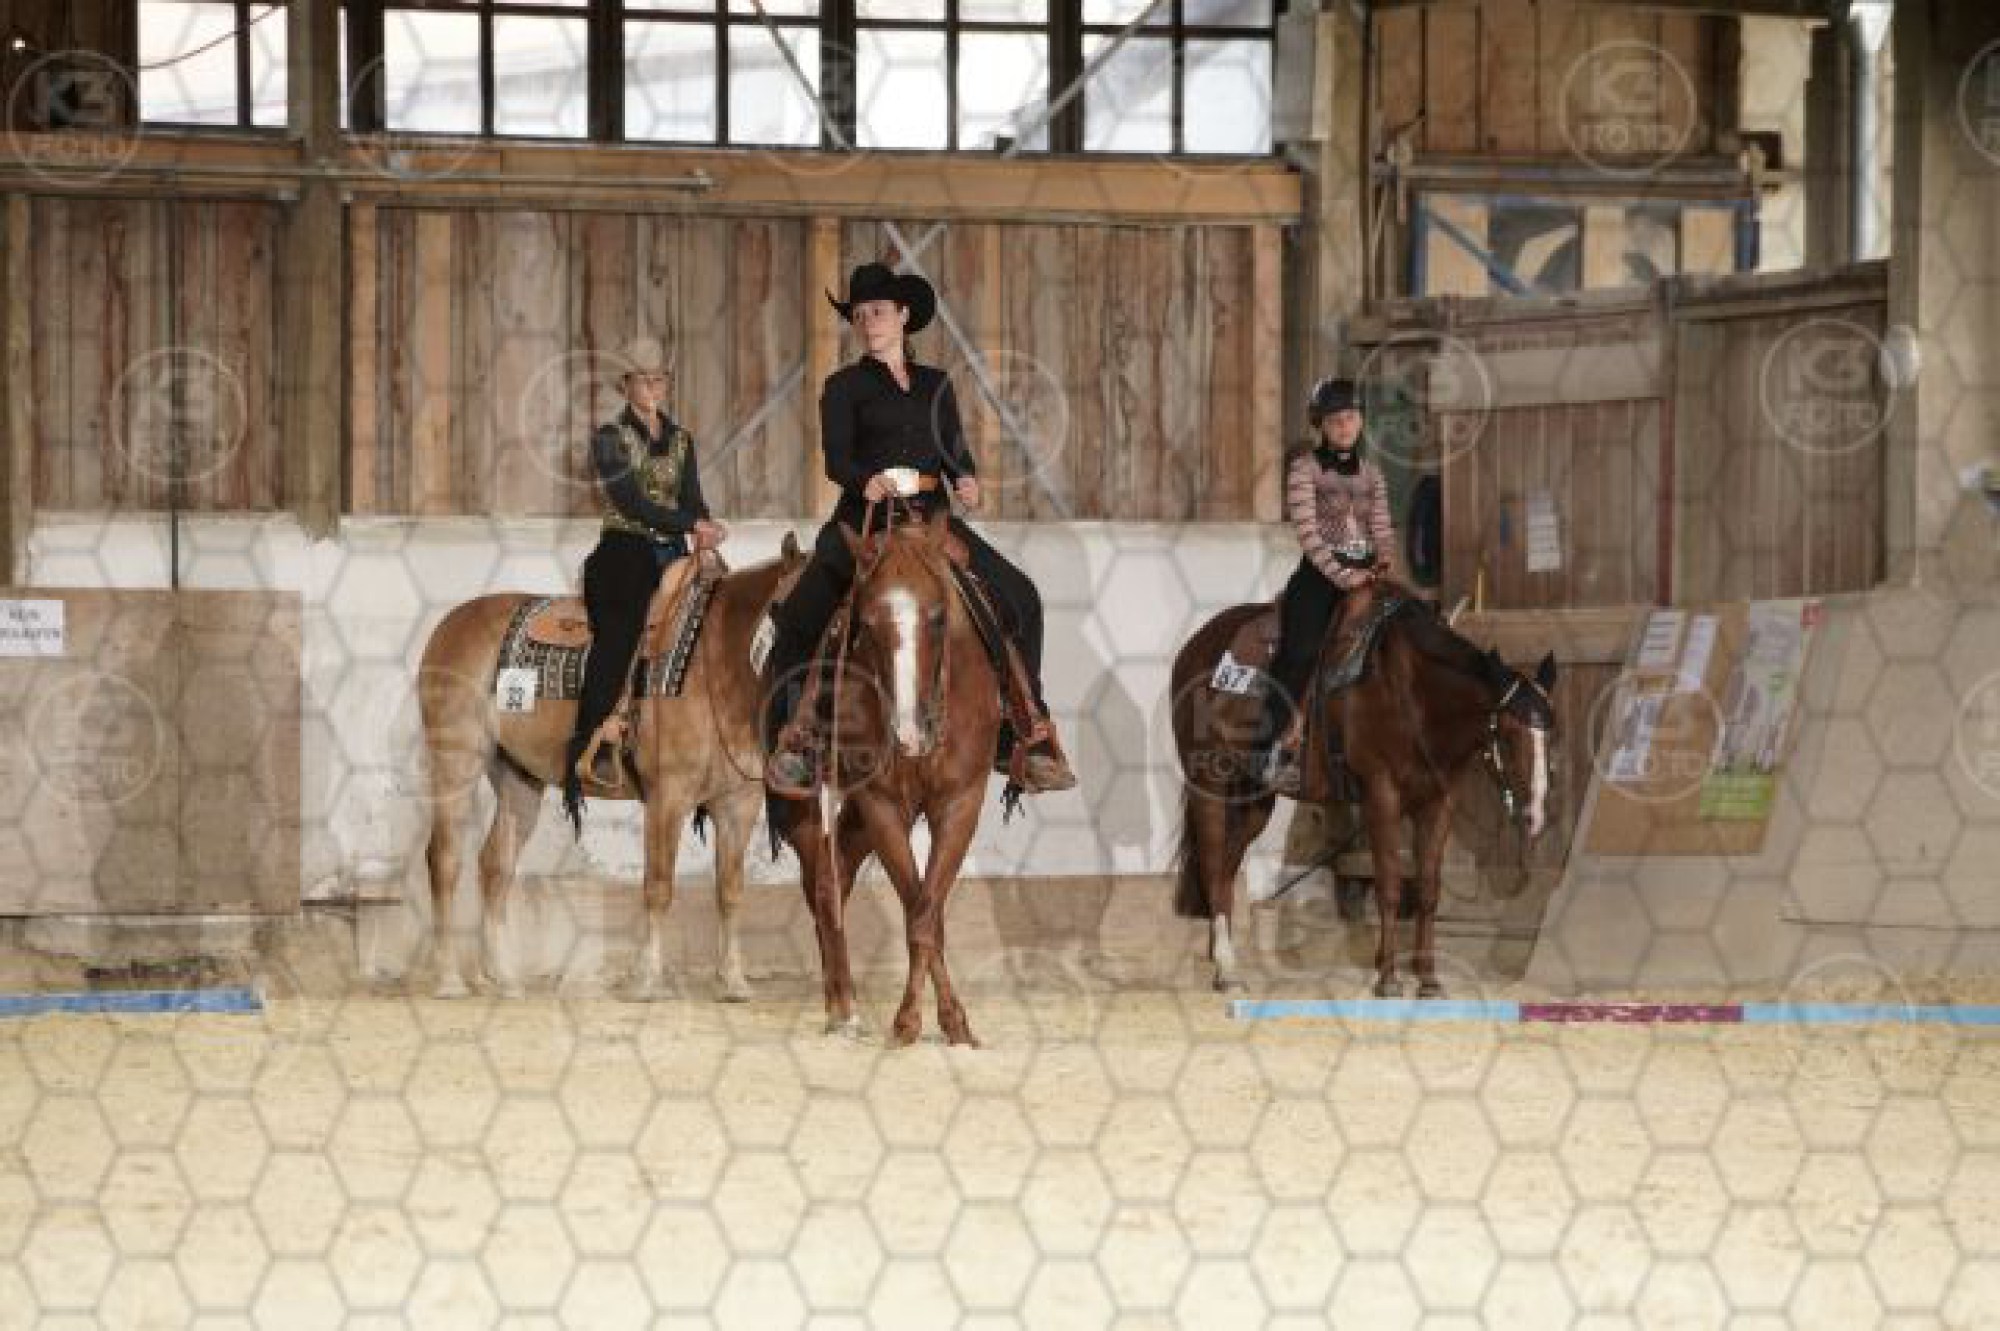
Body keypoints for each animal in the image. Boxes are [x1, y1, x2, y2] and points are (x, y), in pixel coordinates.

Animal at [415, 541, 802, 999]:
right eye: (787, 606)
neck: (716, 664)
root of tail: (449, 625)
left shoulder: (738, 803)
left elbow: (730, 891)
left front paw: (734, 980)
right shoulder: (668, 797)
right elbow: (658, 886)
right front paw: (645, 978)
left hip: (516, 776)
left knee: (495, 865)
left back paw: (505, 978)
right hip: (456, 761)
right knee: (444, 858)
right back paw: (448, 978)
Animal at [771, 505, 1004, 1047]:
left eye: (938, 617)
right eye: (867, 623)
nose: (908, 732)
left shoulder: (961, 803)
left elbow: (927, 909)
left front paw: (953, 1023)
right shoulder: (881, 804)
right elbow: (919, 911)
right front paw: (909, 1021)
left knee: (830, 884)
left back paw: (844, 1007)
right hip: (813, 808)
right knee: (824, 889)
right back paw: (842, 1008)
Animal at [1170, 583, 1557, 997]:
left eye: (1552, 733)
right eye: (1509, 735)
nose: (1535, 816)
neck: (1412, 693)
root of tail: (1194, 645)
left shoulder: (1439, 802)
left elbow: (1428, 890)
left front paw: (1428, 979)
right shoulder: (1381, 796)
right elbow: (1389, 884)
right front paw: (1388, 978)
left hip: (1255, 799)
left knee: (1226, 869)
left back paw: (1221, 960)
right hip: (1208, 785)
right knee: (1212, 864)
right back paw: (1226, 969)